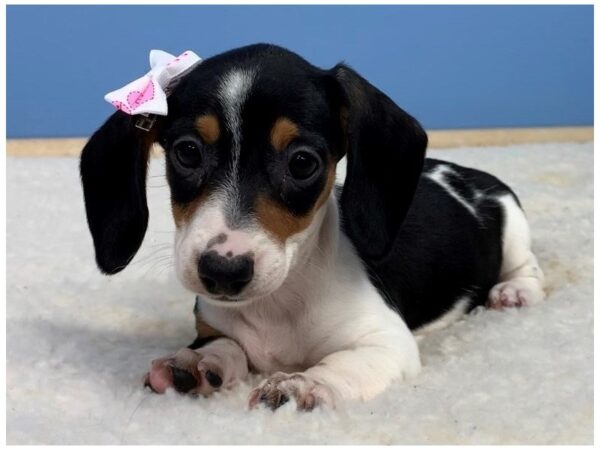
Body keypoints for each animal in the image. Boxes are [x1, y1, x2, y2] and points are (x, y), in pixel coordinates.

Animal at [79, 44, 544, 412]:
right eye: (187, 153)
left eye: (302, 162)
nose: (223, 272)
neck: (279, 302)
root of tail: (466, 173)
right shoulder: (214, 324)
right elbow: (224, 344)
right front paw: (195, 363)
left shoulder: (386, 341)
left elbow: (342, 364)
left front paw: (303, 384)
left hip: (513, 228)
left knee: (528, 265)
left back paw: (515, 291)